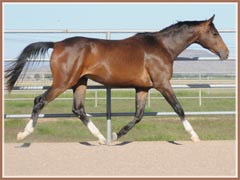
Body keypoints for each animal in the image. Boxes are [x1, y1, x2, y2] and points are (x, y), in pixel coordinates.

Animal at [4, 15, 228, 145]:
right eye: (214, 32)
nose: (226, 53)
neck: (162, 47)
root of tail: (57, 43)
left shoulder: (142, 88)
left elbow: (138, 115)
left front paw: (116, 135)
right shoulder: (163, 84)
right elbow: (178, 108)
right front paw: (194, 136)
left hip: (80, 83)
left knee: (78, 109)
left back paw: (102, 138)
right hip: (63, 82)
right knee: (40, 101)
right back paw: (24, 134)